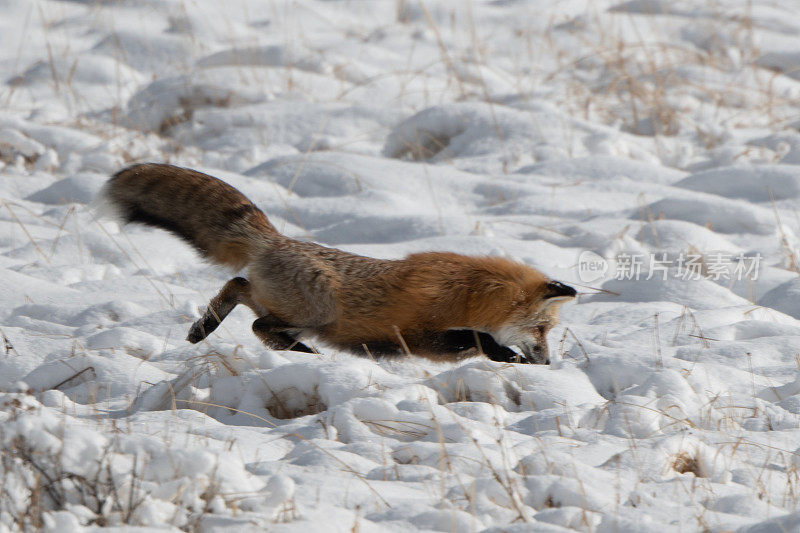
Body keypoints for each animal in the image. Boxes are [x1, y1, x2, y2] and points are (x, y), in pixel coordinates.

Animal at [101, 164, 576, 364]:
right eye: (542, 330)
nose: (547, 364)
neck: (468, 293)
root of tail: (277, 240)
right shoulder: (418, 335)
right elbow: (478, 340)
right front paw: (508, 357)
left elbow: (478, 341)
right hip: (318, 312)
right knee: (257, 322)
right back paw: (291, 350)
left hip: (292, 308)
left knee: (239, 288)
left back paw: (205, 327)